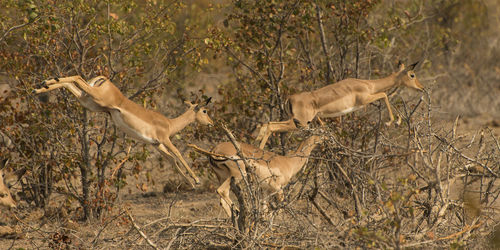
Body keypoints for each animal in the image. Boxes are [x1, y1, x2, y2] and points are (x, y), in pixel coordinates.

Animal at [33, 76, 213, 188]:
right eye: (204, 111)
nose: (211, 123)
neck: (169, 124)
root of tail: (104, 80)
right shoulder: (165, 140)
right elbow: (178, 154)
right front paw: (197, 180)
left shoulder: (157, 145)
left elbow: (172, 161)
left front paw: (190, 183)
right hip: (94, 97)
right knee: (76, 77)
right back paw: (44, 83)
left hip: (87, 101)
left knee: (70, 84)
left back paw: (41, 87)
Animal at [189, 135, 322, 217]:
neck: (289, 161)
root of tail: (214, 150)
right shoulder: (278, 189)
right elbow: (280, 208)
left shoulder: (265, 191)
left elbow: (265, 209)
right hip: (238, 175)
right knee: (222, 191)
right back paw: (239, 212)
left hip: (223, 177)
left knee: (222, 200)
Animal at [256, 61, 424, 149]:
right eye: (412, 75)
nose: (422, 88)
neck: (368, 84)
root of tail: (289, 98)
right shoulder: (365, 99)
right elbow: (384, 95)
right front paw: (392, 121)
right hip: (300, 123)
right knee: (271, 126)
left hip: (295, 120)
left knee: (267, 124)